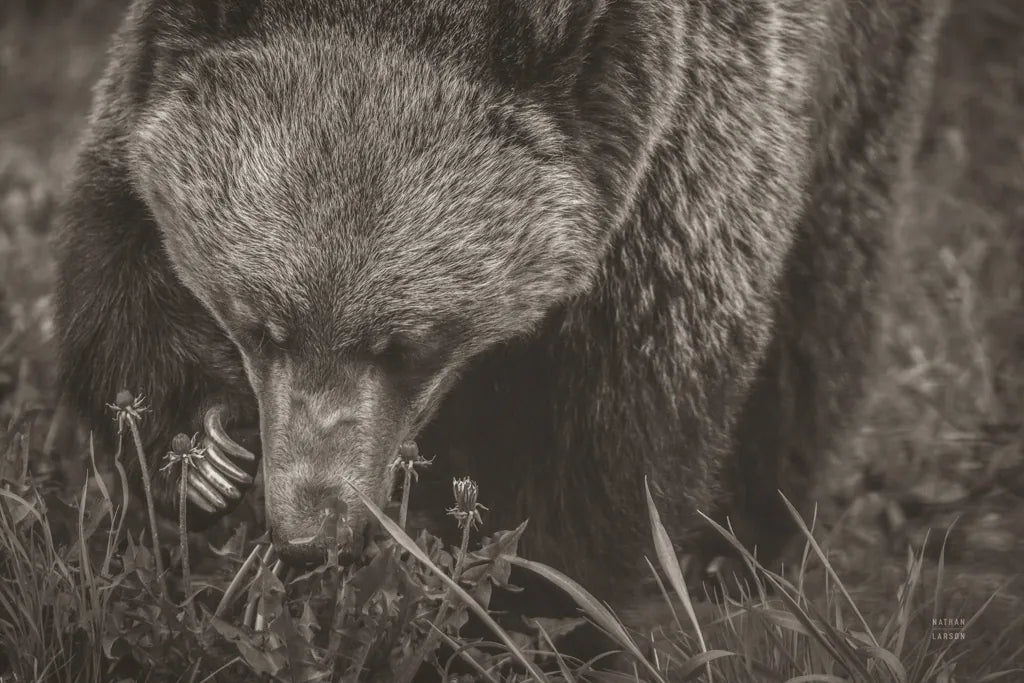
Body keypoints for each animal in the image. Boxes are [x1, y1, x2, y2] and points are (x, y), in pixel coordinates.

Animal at [54, 0, 948, 603]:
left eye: (405, 345)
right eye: (260, 324)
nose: (313, 529)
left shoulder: (680, 156)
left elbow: (613, 432)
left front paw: (537, 599)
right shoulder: (149, 92)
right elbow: (119, 265)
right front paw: (199, 455)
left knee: (823, 306)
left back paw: (746, 547)